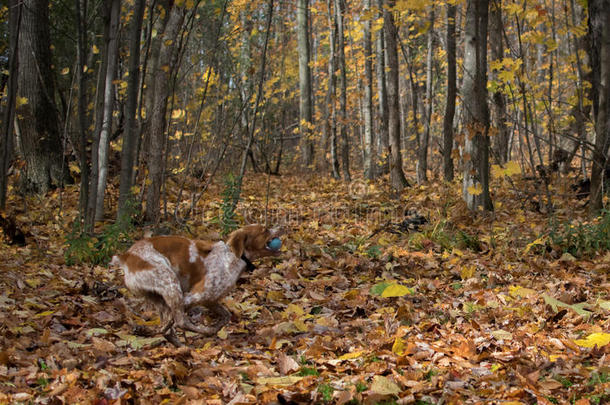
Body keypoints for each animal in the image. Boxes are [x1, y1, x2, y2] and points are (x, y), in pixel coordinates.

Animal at [110, 224, 282, 344]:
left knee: (167, 325)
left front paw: (215, 328)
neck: (234, 257)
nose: (281, 228)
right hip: (170, 283)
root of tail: (127, 256)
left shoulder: (210, 300)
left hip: (158, 296)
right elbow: (176, 320)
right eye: (265, 230)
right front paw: (209, 330)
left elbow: (226, 316)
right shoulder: (195, 295)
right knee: (180, 320)